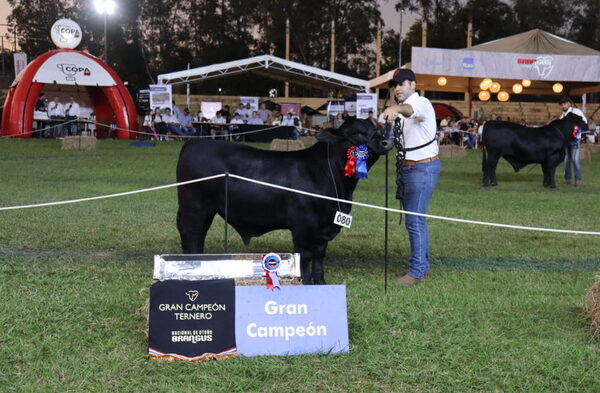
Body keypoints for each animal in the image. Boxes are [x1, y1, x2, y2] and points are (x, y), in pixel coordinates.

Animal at [176, 118, 392, 284]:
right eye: (357, 133)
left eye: (376, 129)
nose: (387, 142)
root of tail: (192, 144)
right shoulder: (303, 224)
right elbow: (305, 255)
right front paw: (305, 282)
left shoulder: (325, 226)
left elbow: (319, 255)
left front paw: (321, 282)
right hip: (195, 207)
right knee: (192, 236)